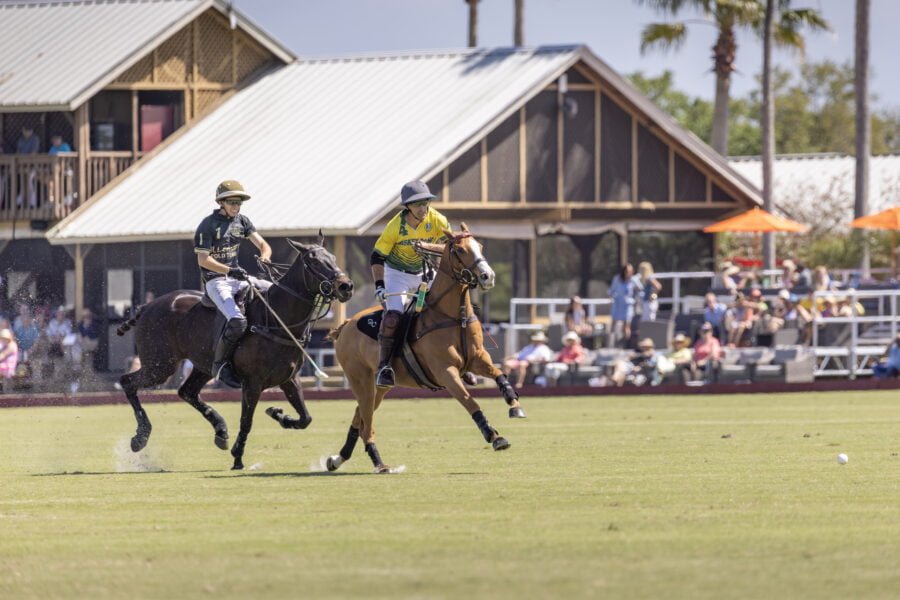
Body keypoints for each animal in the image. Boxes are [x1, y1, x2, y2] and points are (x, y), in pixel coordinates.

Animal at [118, 238, 356, 468]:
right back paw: (140, 437)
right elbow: (246, 421)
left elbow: (306, 418)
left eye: (333, 257)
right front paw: (238, 457)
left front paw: (278, 414)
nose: (346, 286)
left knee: (187, 391)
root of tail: (146, 307)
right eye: (314, 261)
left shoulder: (289, 379)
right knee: (128, 381)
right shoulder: (252, 383)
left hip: (203, 366)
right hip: (160, 365)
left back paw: (221, 431)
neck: (277, 320)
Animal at [326, 224, 524, 474]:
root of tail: (345, 325)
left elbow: (500, 375)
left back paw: (337, 458)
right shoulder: (445, 371)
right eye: (459, 250)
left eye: (479, 246)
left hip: (377, 387)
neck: (452, 316)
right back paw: (379, 463)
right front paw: (495, 436)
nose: (488, 277)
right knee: (366, 424)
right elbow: (470, 401)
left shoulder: (478, 358)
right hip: (360, 380)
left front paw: (514, 404)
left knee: (359, 417)